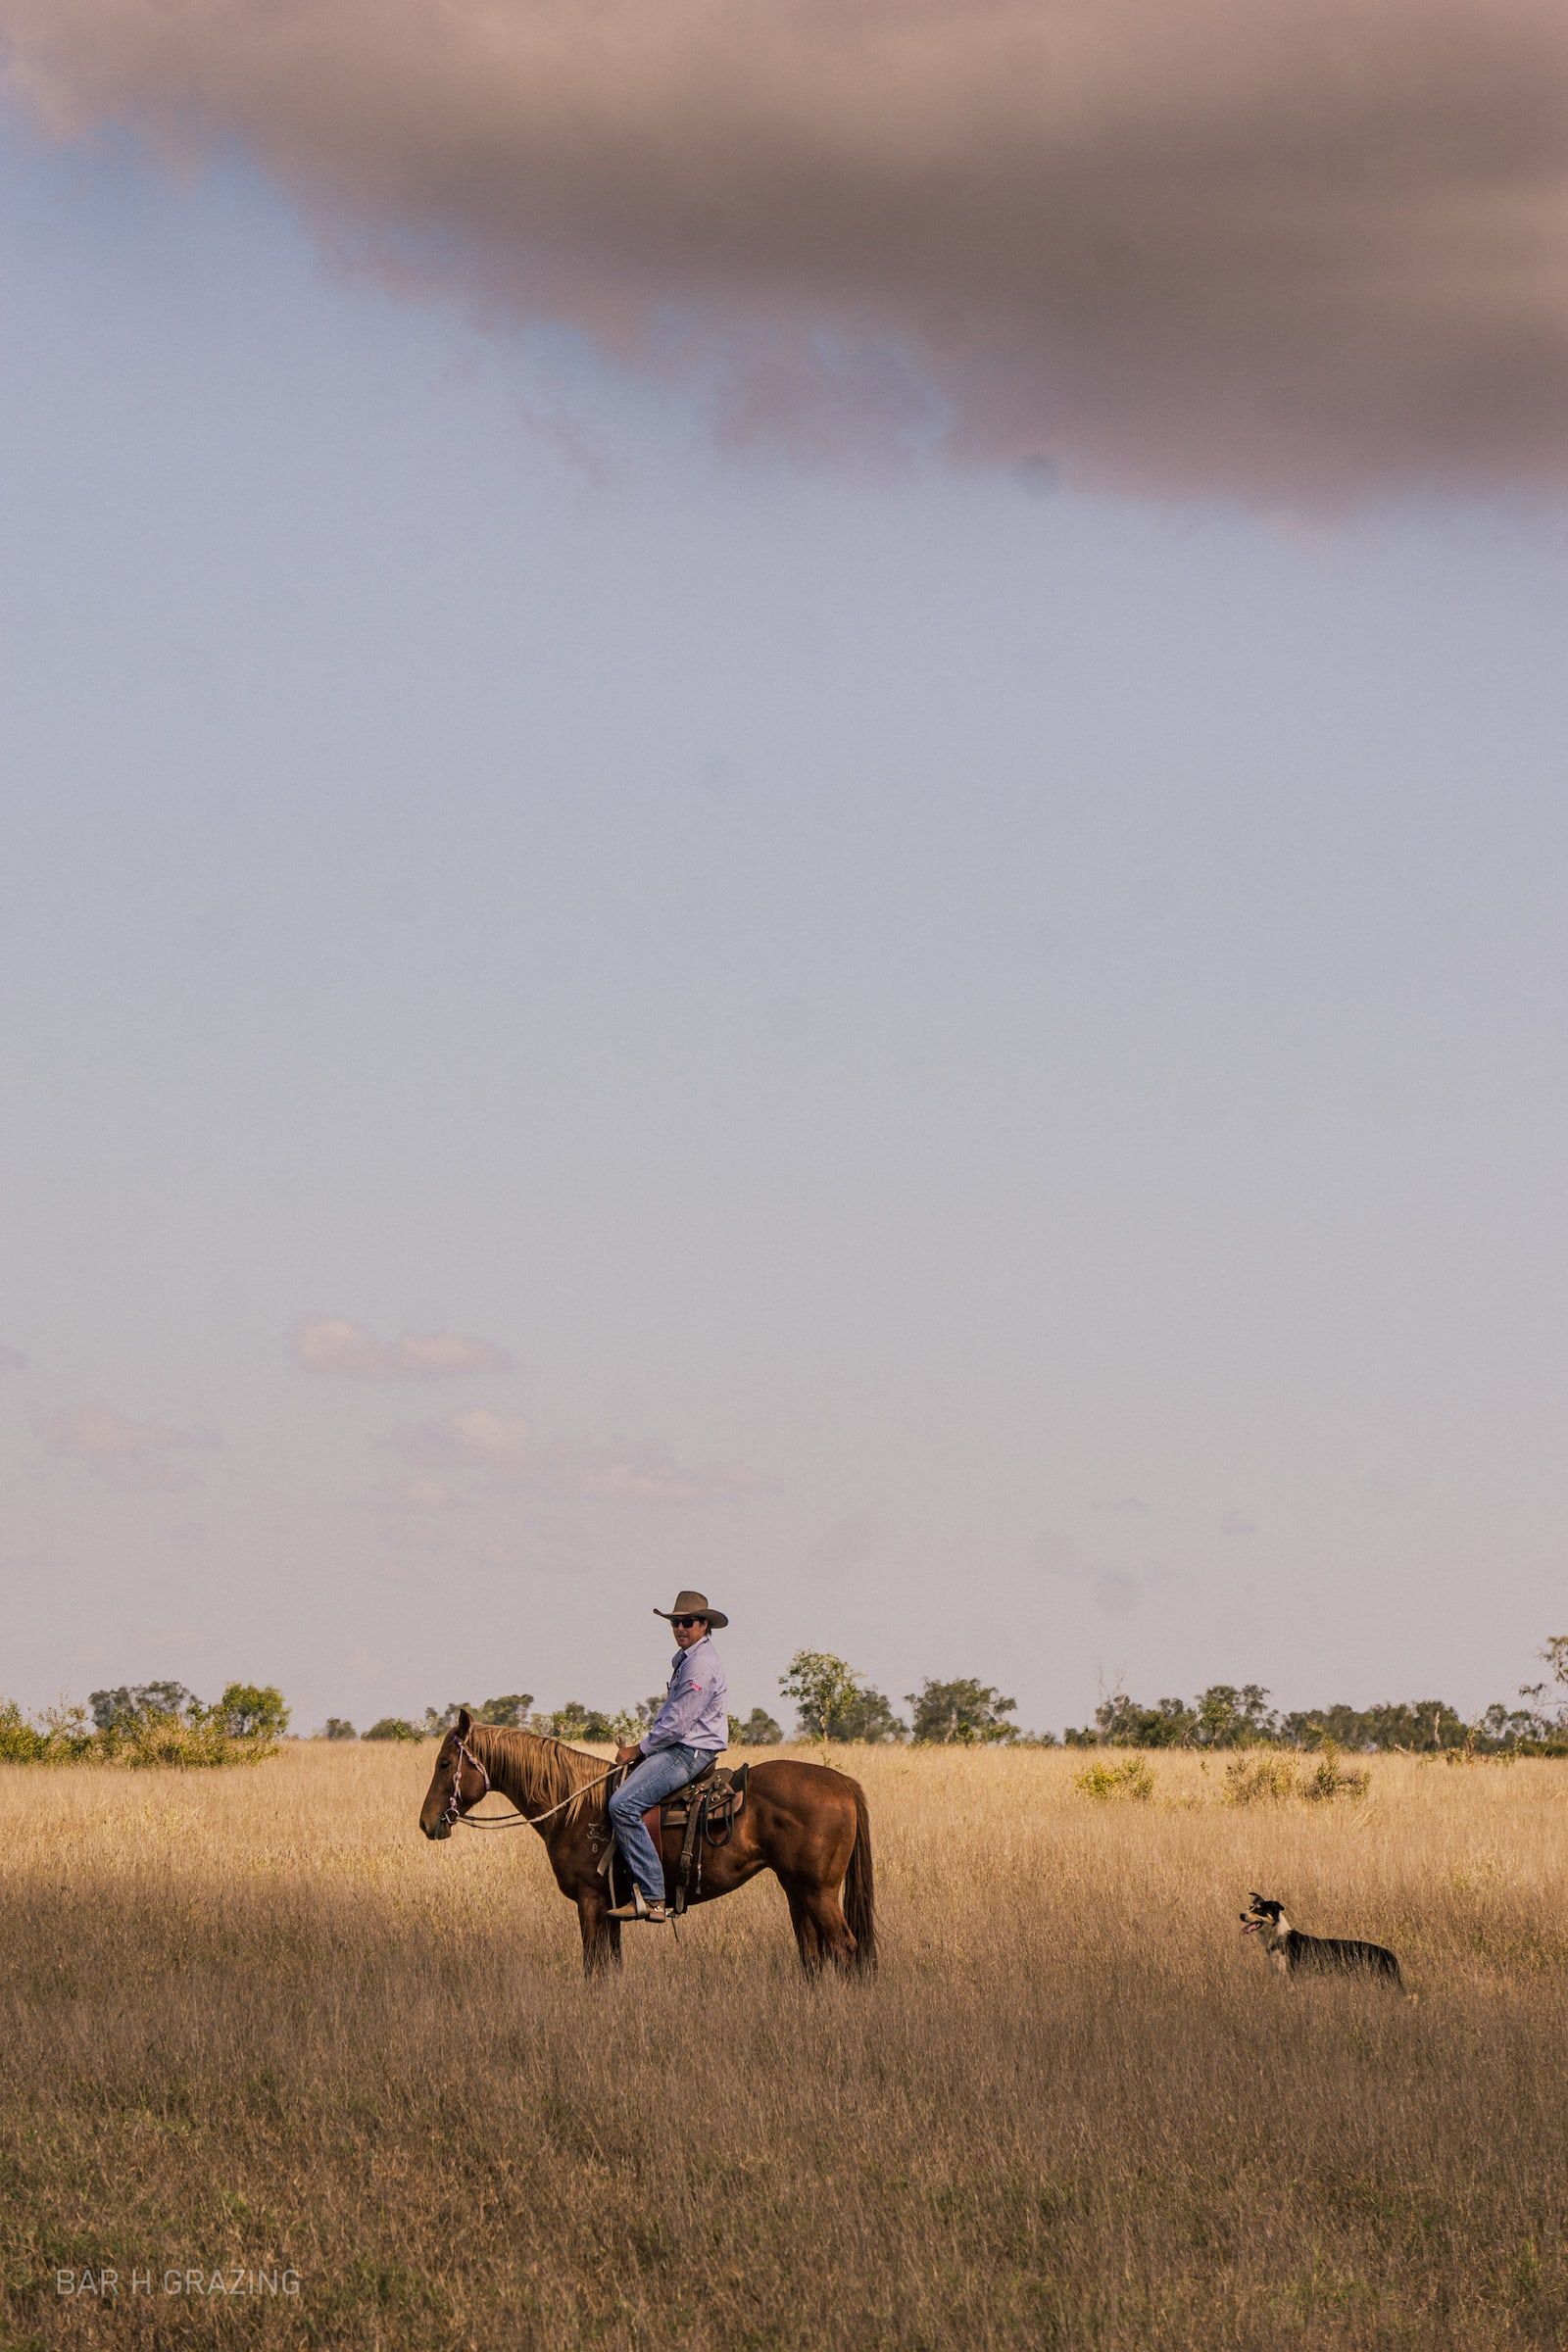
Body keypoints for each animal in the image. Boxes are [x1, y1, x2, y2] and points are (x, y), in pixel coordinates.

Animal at [418, 1710, 876, 1979]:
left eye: (444, 1763)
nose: (427, 1823)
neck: (575, 1807)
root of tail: (842, 1783)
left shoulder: (590, 1901)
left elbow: (593, 1969)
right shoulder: (609, 1907)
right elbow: (611, 1968)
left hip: (818, 1891)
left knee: (846, 1948)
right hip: (795, 1888)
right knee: (813, 1953)